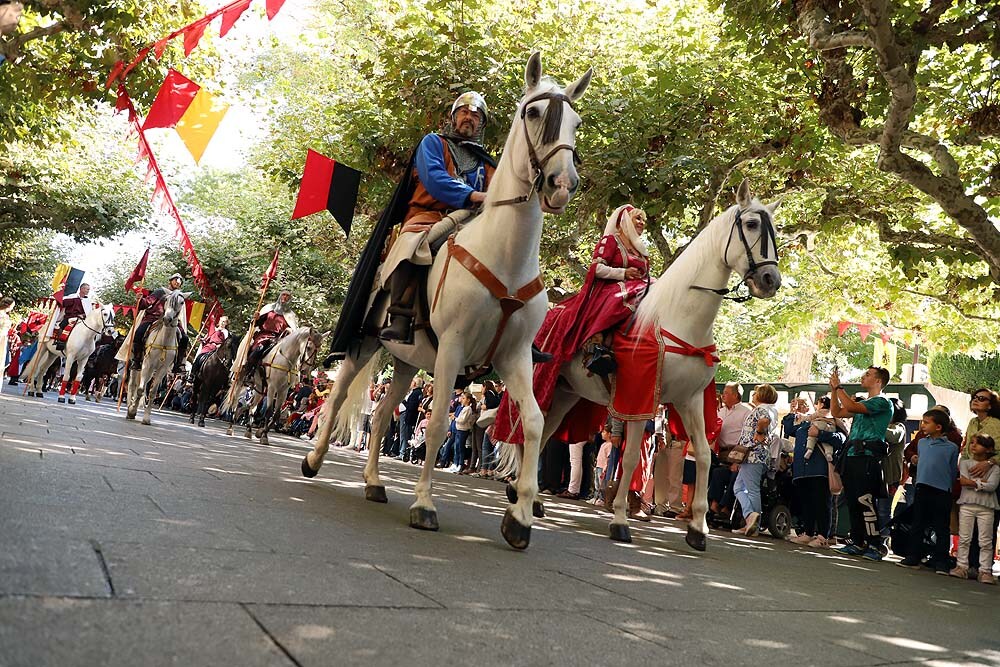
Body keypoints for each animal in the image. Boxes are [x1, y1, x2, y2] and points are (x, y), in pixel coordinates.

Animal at [125, 290, 188, 426]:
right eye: (167, 299)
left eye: (181, 302)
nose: (167, 319)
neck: (164, 341)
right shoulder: (147, 363)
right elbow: (140, 389)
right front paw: (132, 411)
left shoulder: (162, 369)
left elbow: (152, 392)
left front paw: (146, 418)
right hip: (137, 365)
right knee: (132, 384)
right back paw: (129, 407)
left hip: (151, 371)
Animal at [300, 52, 588, 552]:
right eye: (534, 112)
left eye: (576, 121)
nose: (560, 184)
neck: (505, 257)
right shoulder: (452, 349)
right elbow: (435, 424)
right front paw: (424, 505)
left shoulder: (514, 357)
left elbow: (533, 422)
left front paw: (520, 516)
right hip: (364, 344)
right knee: (337, 399)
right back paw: (315, 461)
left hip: (407, 361)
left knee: (381, 416)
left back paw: (374, 483)